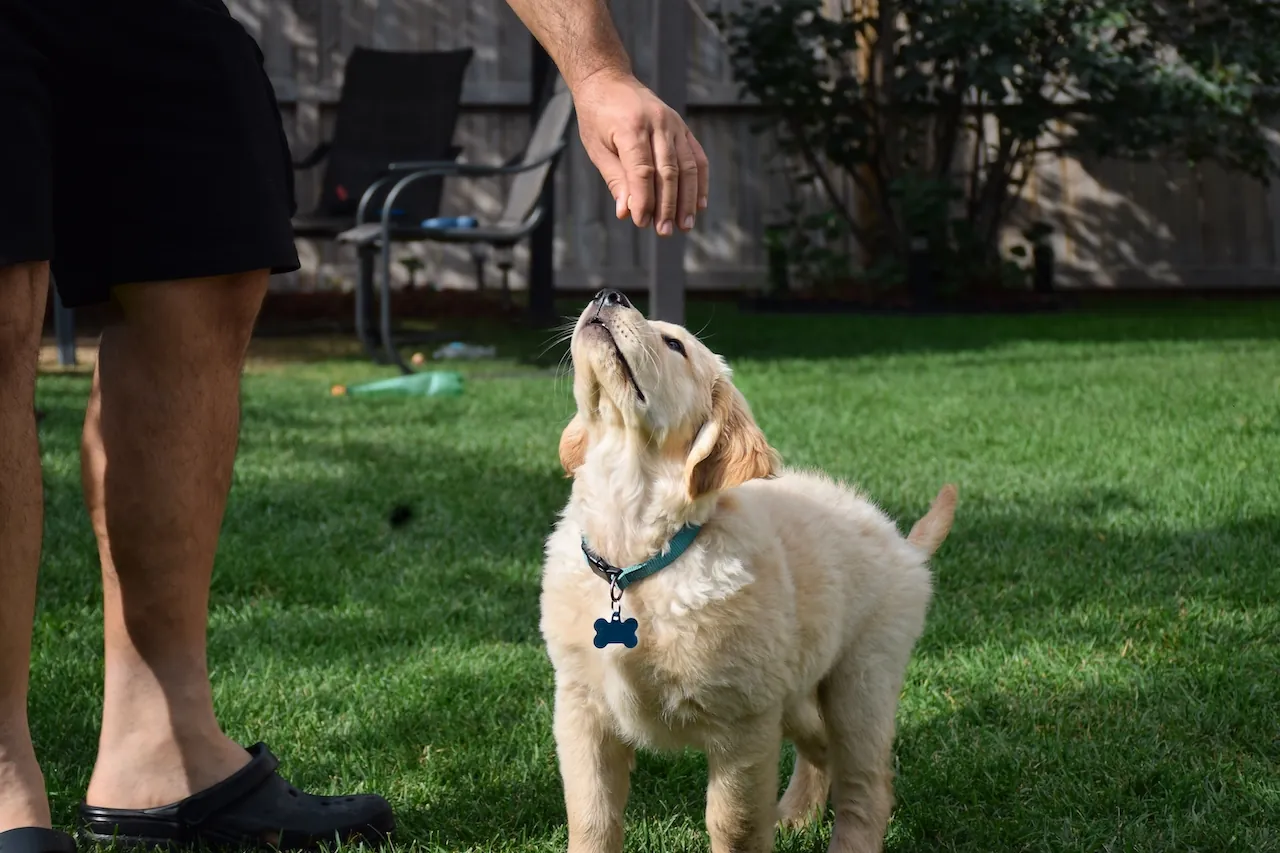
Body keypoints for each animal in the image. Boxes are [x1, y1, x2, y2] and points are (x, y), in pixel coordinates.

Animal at [537, 289, 952, 845]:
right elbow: (591, 815)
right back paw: (795, 815)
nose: (609, 294)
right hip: (794, 687)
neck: (636, 560)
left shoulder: (742, 721)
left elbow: (733, 824)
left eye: (675, 345)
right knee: (820, 748)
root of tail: (902, 543)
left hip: (861, 680)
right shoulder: (581, 706)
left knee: (865, 785)